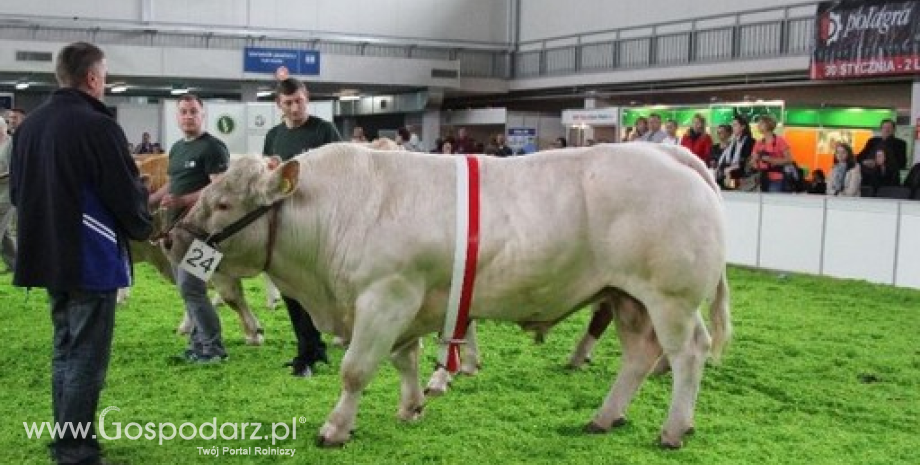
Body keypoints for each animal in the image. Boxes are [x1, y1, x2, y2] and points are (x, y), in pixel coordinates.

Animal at [167, 142, 732, 450]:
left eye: (223, 202)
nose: (172, 238)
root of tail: (668, 152)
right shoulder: (408, 303)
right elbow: (406, 359)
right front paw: (411, 406)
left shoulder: (386, 296)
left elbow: (356, 370)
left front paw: (335, 428)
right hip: (625, 297)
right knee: (639, 355)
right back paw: (604, 417)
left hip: (670, 297)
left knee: (687, 353)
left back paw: (673, 429)